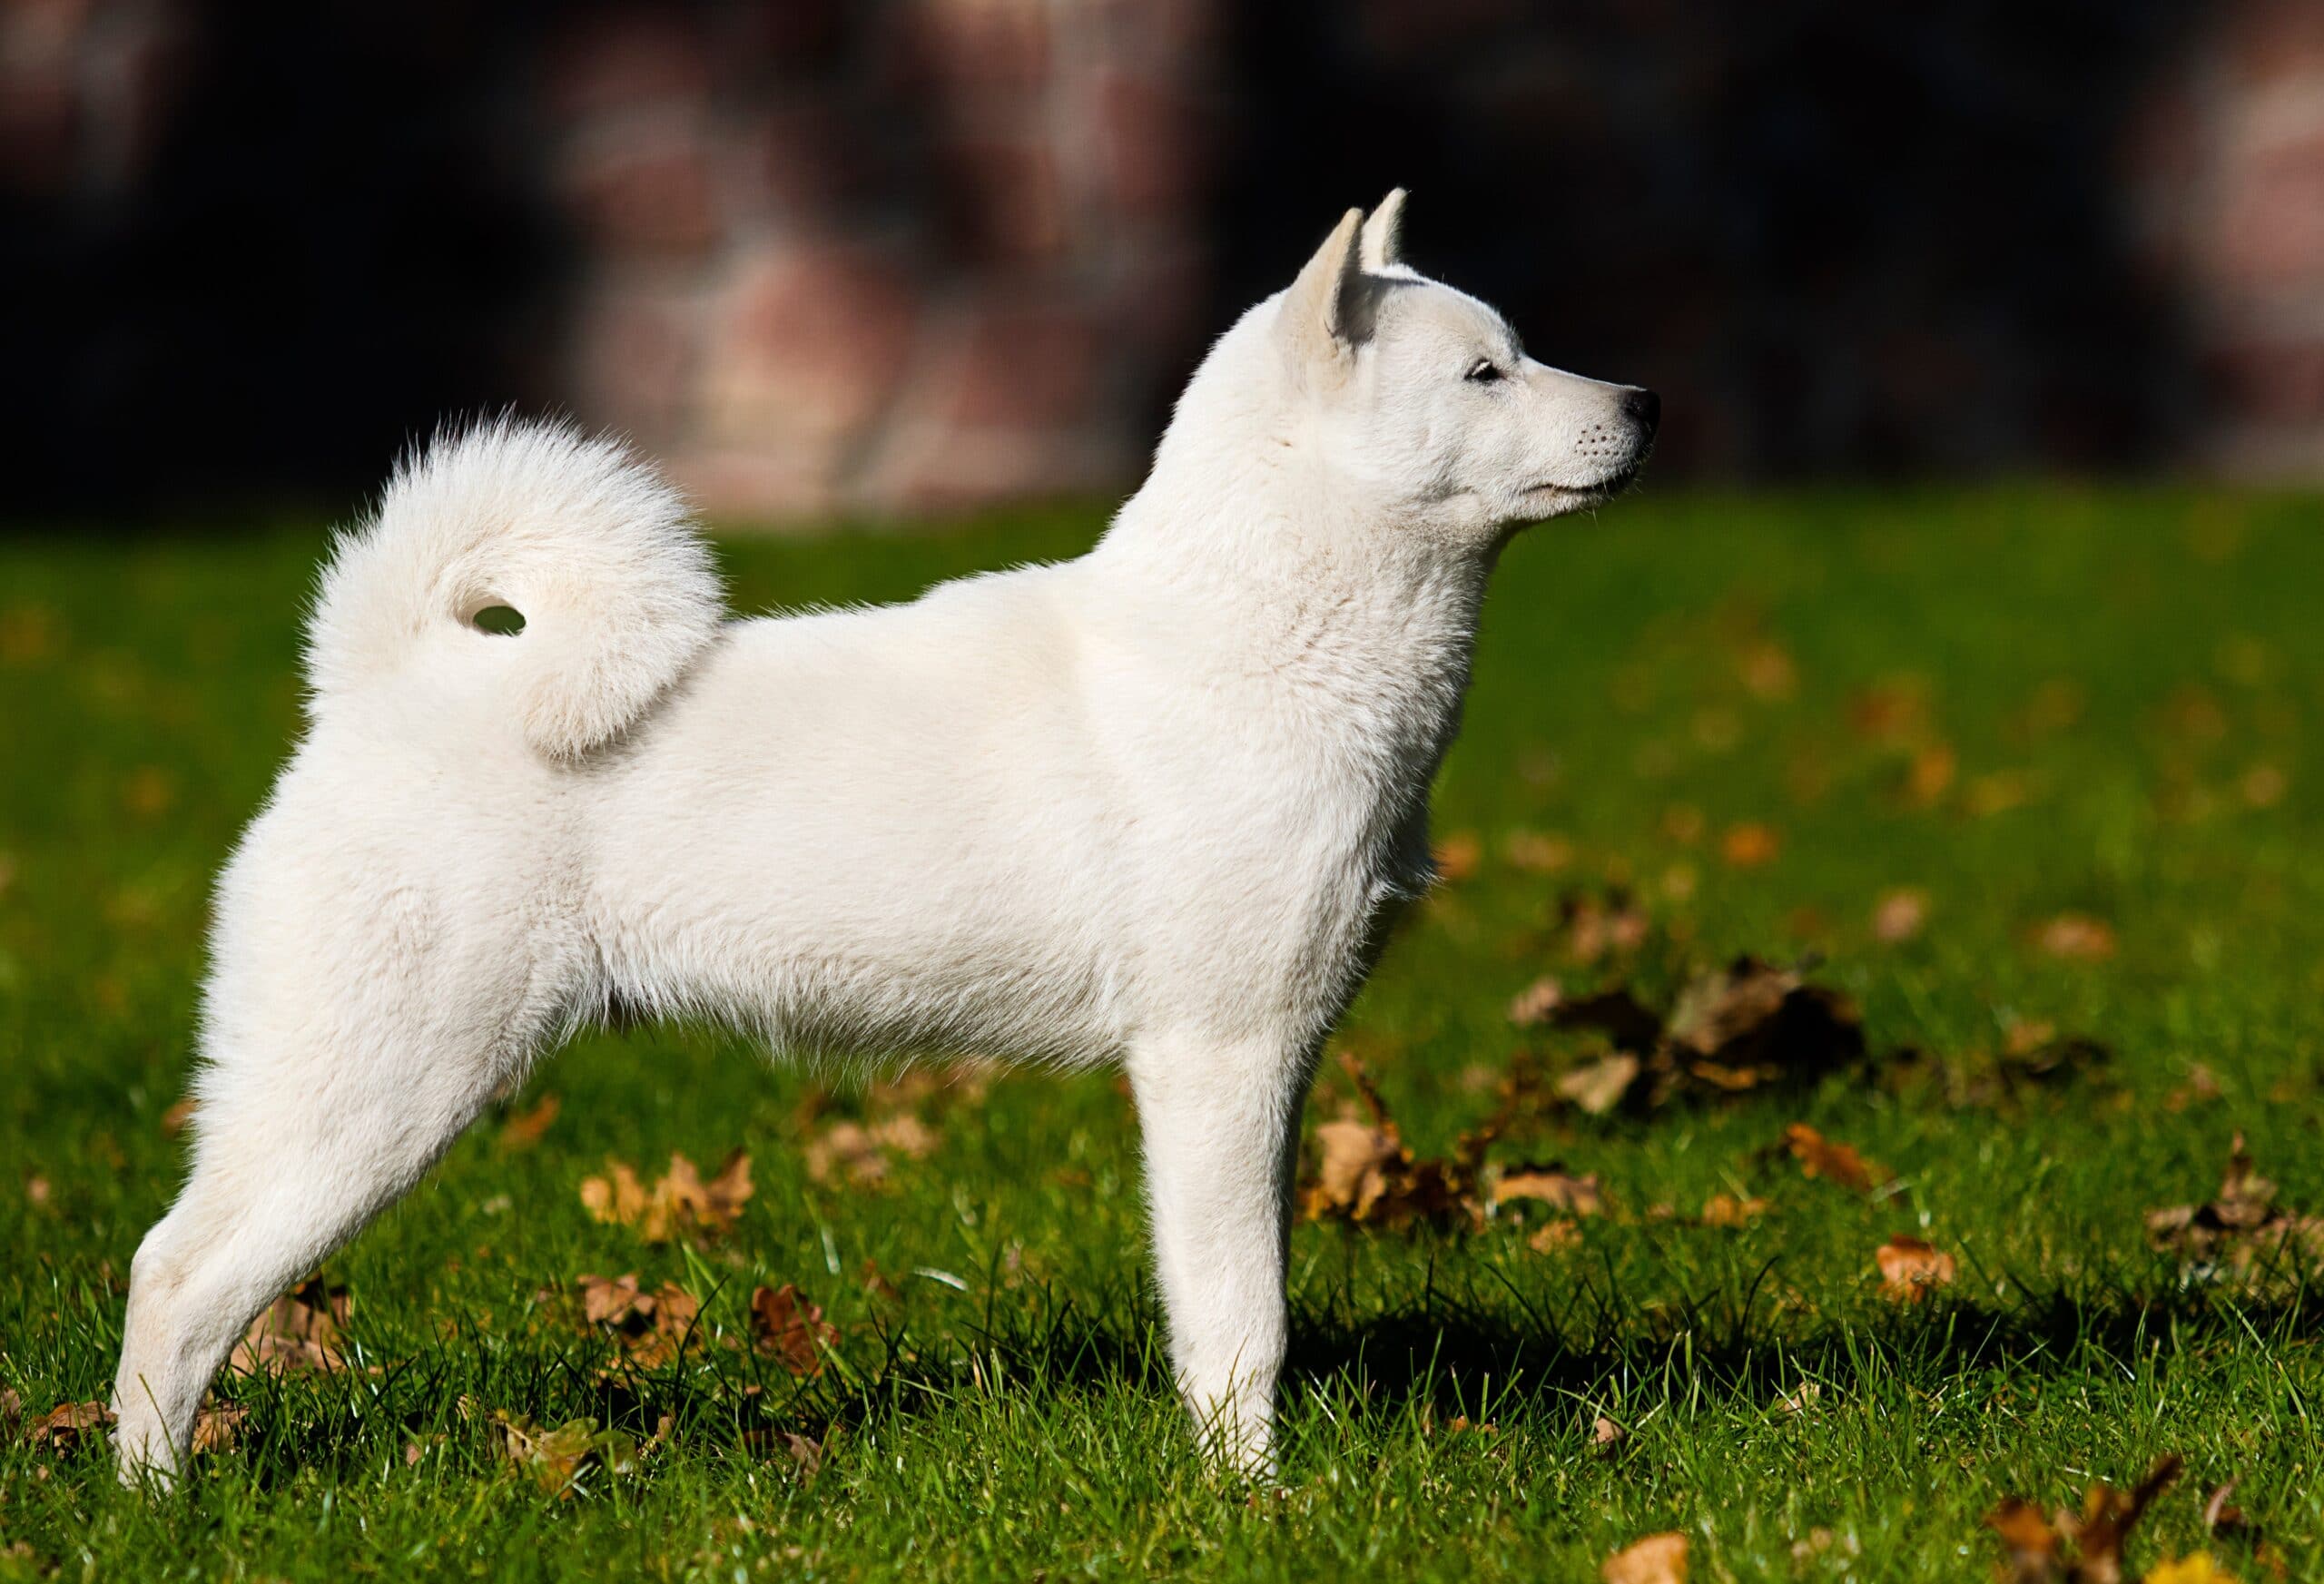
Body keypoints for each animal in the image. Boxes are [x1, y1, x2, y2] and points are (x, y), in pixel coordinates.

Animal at [117, 192, 1663, 1477]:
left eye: (1520, 352)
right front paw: (1253, 1497)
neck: (1254, 643)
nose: (1646, 401)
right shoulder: (1216, 1061)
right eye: (1483, 373)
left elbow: (1238, 1296)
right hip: (374, 1093)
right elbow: (1242, 1323)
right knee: (176, 1279)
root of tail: (379, 680)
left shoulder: (1267, 1072)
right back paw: (154, 1505)